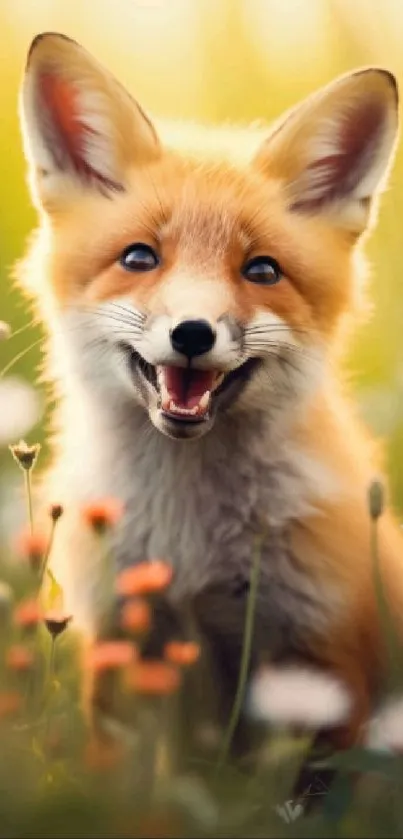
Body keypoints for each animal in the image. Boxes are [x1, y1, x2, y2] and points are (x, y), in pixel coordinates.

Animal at [17, 32, 403, 756]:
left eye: (262, 270)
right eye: (139, 258)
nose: (192, 332)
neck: (188, 542)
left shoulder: (323, 662)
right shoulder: (121, 644)